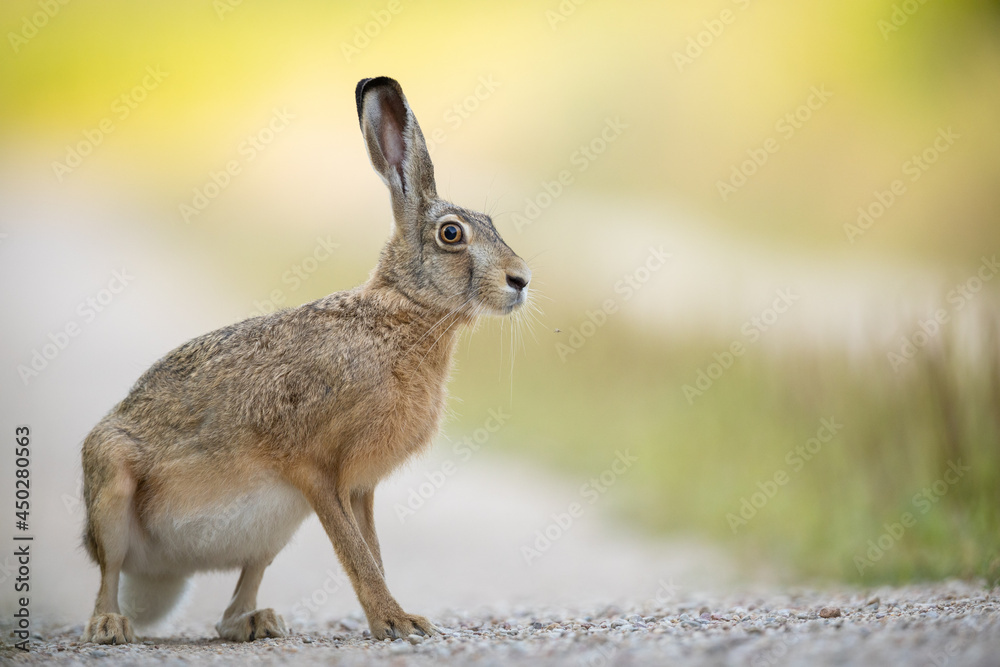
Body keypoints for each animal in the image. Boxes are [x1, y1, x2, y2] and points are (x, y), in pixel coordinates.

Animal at [80, 76, 531, 645]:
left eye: (491, 223)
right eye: (452, 234)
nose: (521, 279)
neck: (402, 312)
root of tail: (166, 572)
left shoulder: (358, 487)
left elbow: (372, 552)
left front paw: (396, 618)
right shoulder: (316, 469)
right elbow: (357, 554)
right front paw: (396, 621)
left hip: (274, 529)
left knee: (233, 603)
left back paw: (257, 622)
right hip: (112, 486)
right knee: (110, 570)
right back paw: (110, 625)